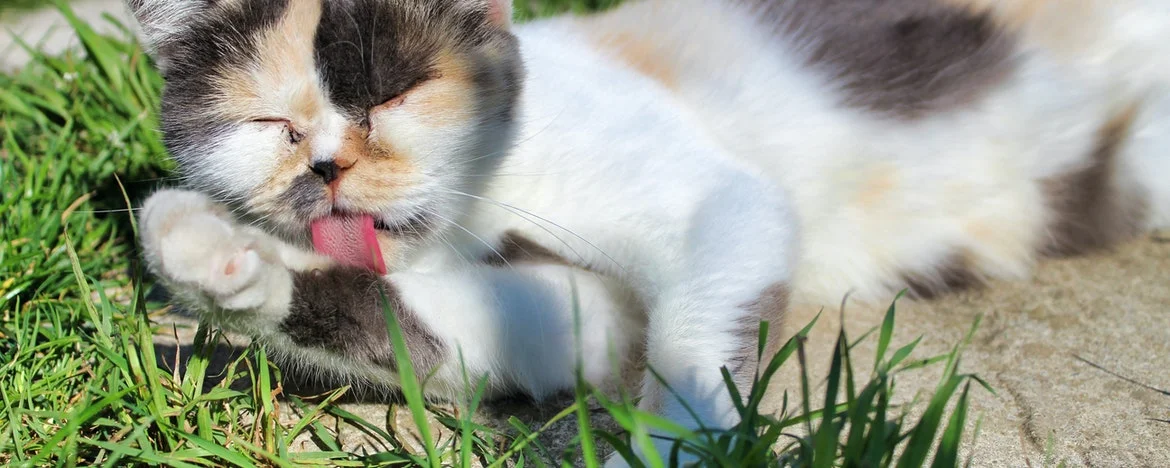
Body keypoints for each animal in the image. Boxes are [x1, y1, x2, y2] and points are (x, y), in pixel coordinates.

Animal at [130, 0, 1170, 463]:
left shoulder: (718, 201)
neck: (480, 206)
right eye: (274, 125)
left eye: (394, 94)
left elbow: (696, 347)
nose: (326, 169)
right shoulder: (571, 316)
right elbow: (415, 324)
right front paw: (218, 257)